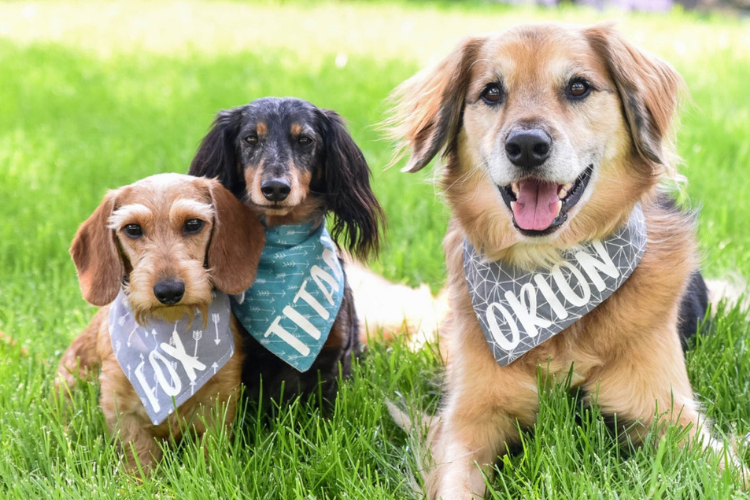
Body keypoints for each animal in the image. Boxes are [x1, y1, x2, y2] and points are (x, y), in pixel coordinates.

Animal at [390, 22, 748, 496]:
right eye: (491, 92)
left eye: (578, 87)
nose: (526, 145)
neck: (550, 270)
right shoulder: (466, 422)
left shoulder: (670, 415)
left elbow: (732, 471)